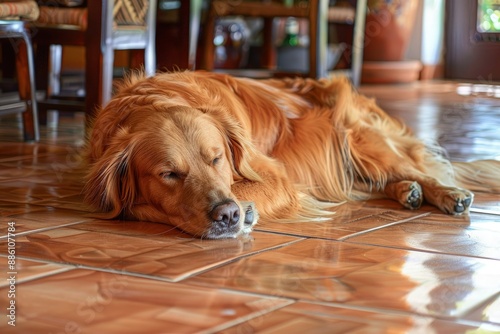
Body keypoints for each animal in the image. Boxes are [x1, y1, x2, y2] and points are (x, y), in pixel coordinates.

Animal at [84, 70, 500, 239]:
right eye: (169, 174)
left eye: (217, 159)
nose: (227, 215)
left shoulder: (275, 176)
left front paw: (245, 208)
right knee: (372, 183)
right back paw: (406, 191)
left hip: (360, 140)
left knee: (412, 169)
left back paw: (446, 194)